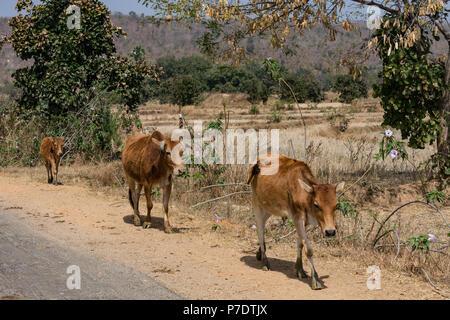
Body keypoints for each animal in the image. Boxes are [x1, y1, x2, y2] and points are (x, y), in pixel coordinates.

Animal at [246, 154, 344, 290]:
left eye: (336, 205)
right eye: (316, 204)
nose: (330, 232)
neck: (304, 195)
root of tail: (257, 161)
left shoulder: (304, 222)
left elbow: (300, 244)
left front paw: (300, 270)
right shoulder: (298, 218)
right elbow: (309, 250)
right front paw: (315, 279)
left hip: (269, 209)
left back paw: (259, 253)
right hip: (258, 205)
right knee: (260, 231)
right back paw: (265, 262)